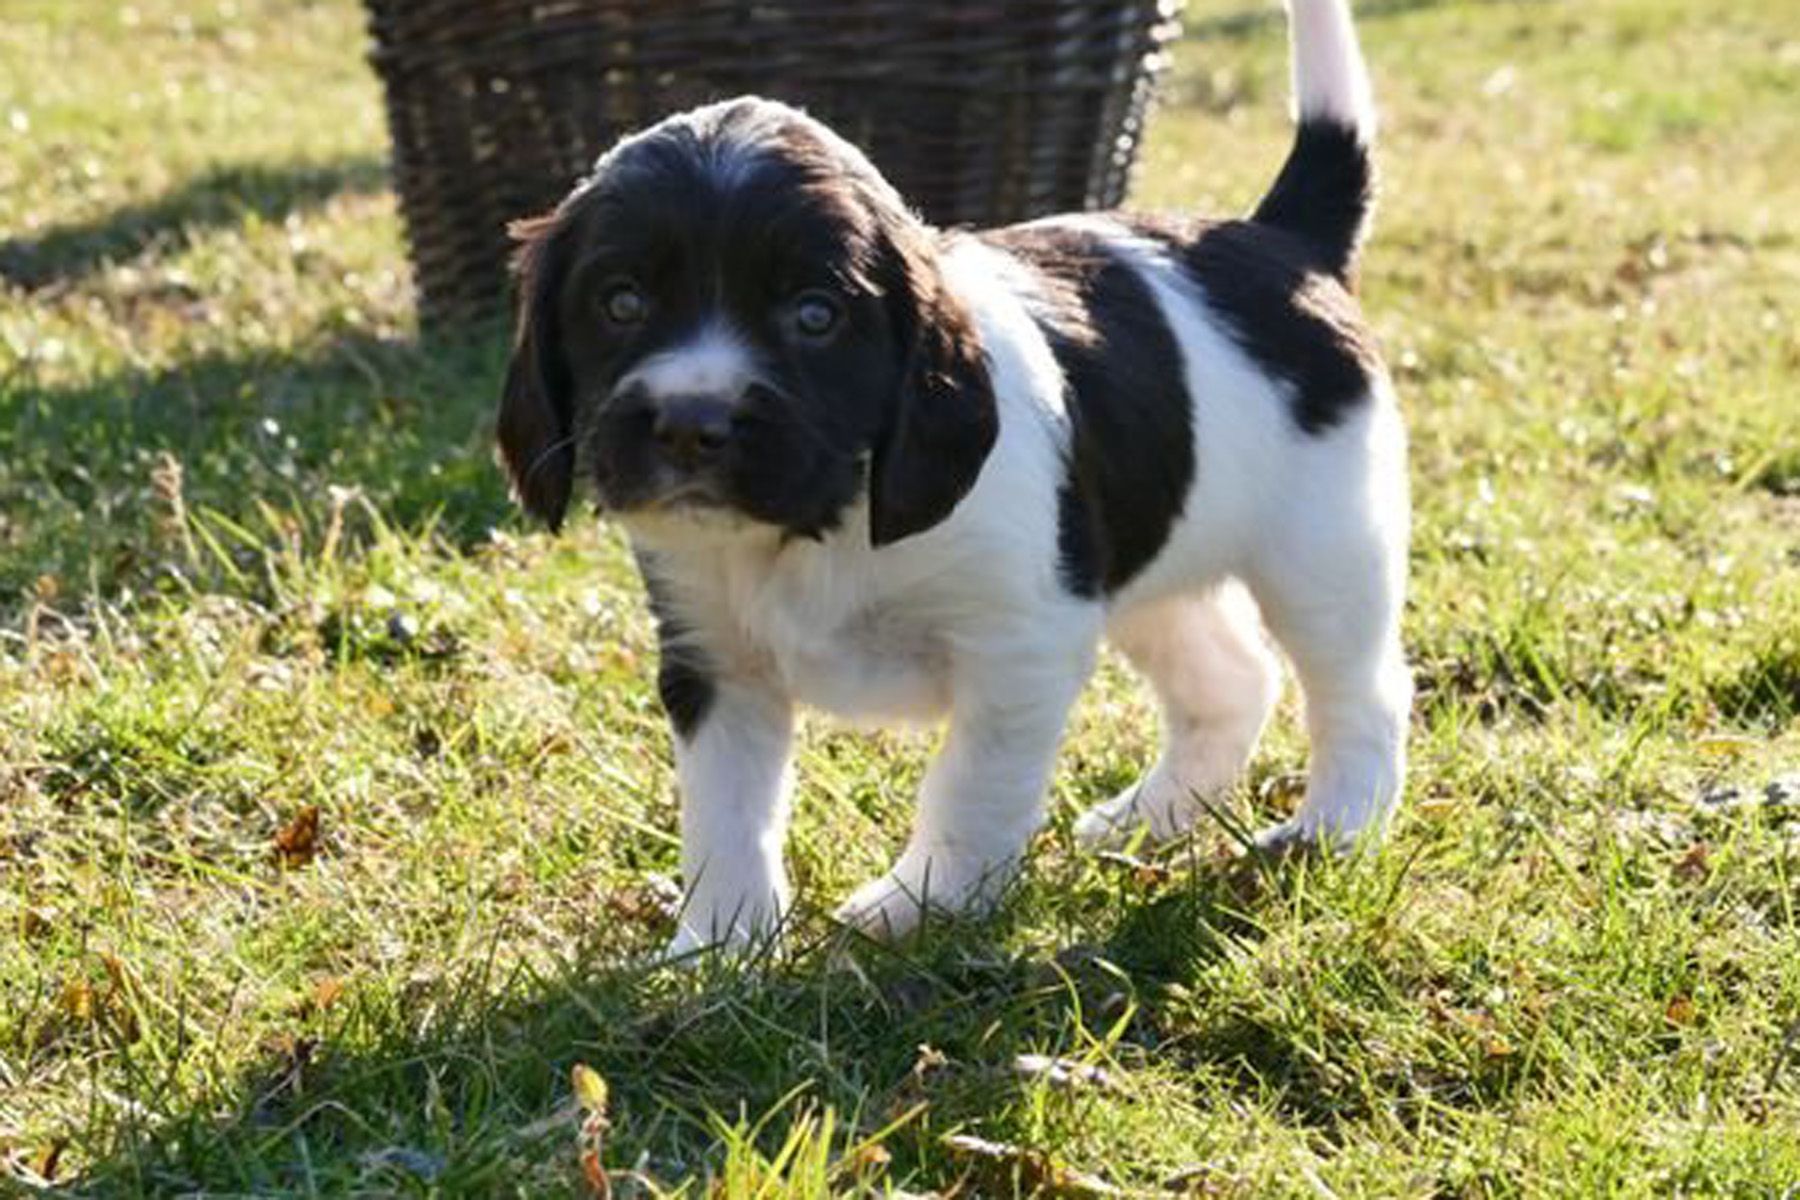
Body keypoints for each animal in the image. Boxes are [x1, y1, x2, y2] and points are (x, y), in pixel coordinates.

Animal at [497, 0, 1411, 954]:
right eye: (621, 302)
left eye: (815, 315)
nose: (689, 422)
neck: (828, 519)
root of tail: (1281, 238)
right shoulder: (715, 658)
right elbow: (726, 815)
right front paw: (720, 948)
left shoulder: (1020, 646)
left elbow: (970, 788)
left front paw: (922, 902)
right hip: (1148, 561)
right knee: (1232, 681)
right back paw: (1145, 819)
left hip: (1324, 550)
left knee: (1361, 692)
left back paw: (1333, 828)